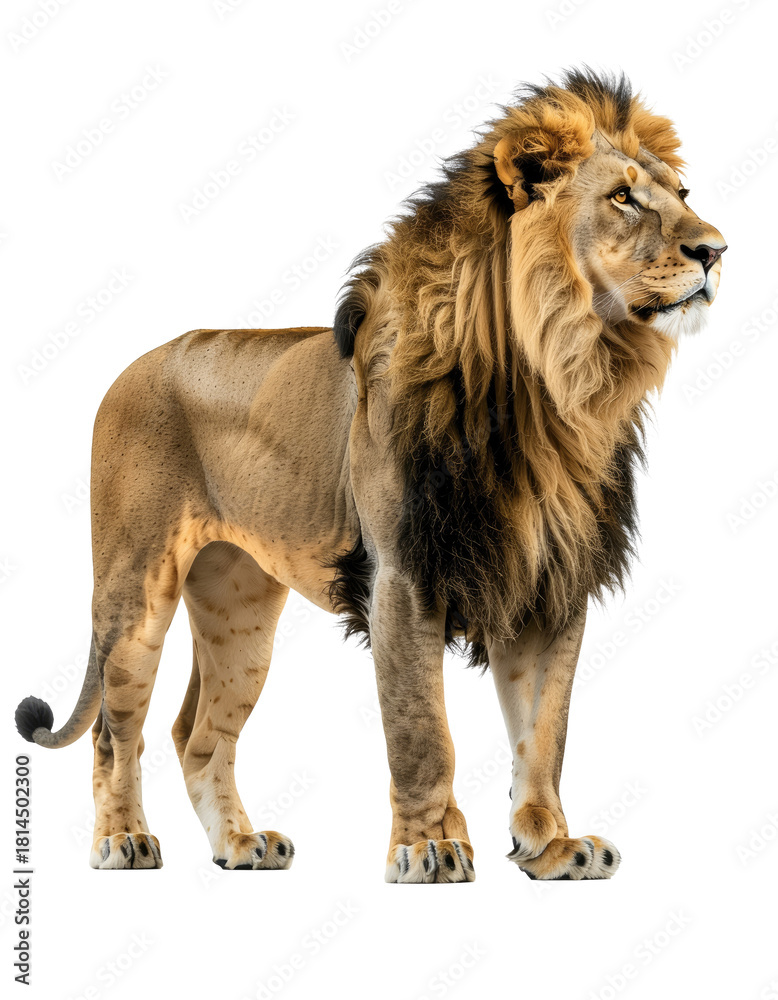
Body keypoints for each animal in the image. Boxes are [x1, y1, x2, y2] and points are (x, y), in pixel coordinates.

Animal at [15, 69, 725, 881]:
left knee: (197, 733)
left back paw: (240, 845)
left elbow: (544, 733)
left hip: (239, 610)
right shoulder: (403, 575)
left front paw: (551, 847)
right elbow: (423, 730)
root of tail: (129, 367)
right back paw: (122, 840)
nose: (717, 250)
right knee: (115, 731)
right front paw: (430, 846)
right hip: (133, 595)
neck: (552, 387)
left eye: (682, 192)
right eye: (624, 197)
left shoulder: (550, 586)